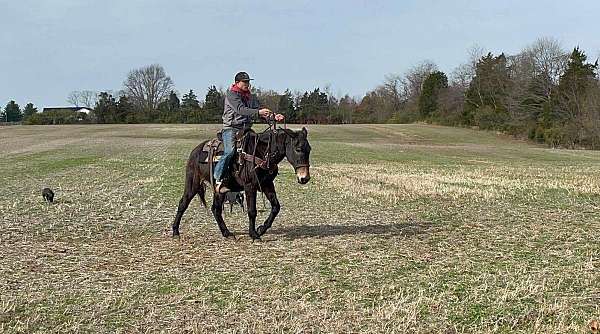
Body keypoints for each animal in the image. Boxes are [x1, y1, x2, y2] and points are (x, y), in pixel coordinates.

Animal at [171, 126, 312, 240]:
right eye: (298, 149)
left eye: (309, 149)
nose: (304, 178)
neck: (262, 152)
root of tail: (196, 151)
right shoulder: (250, 186)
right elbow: (252, 211)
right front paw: (254, 235)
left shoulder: (267, 184)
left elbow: (275, 207)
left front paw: (261, 229)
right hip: (192, 184)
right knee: (183, 203)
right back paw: (175, 231)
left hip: (220, 190)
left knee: (216, 209)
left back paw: (227, 233)